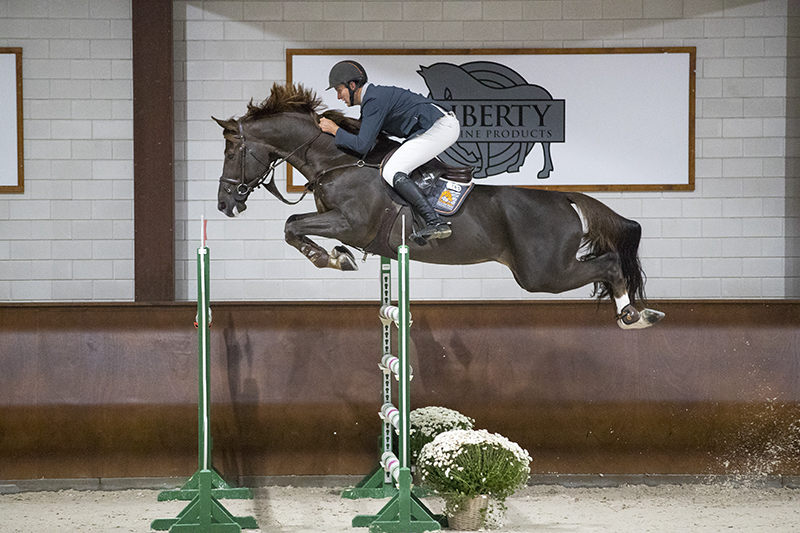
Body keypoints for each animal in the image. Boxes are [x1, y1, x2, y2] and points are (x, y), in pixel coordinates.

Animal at [212, 81, 664, 328]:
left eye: (232, 152)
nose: (223, 203)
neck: (338, 160)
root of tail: (564, 197)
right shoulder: (336, 220)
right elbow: (294, 223)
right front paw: (336, 257)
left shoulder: (349, 223)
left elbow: (292, 222)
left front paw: (332, 258)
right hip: (542, 271)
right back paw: (636, 314)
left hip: (542, 273)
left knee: (609, 264)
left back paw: (634, 316)